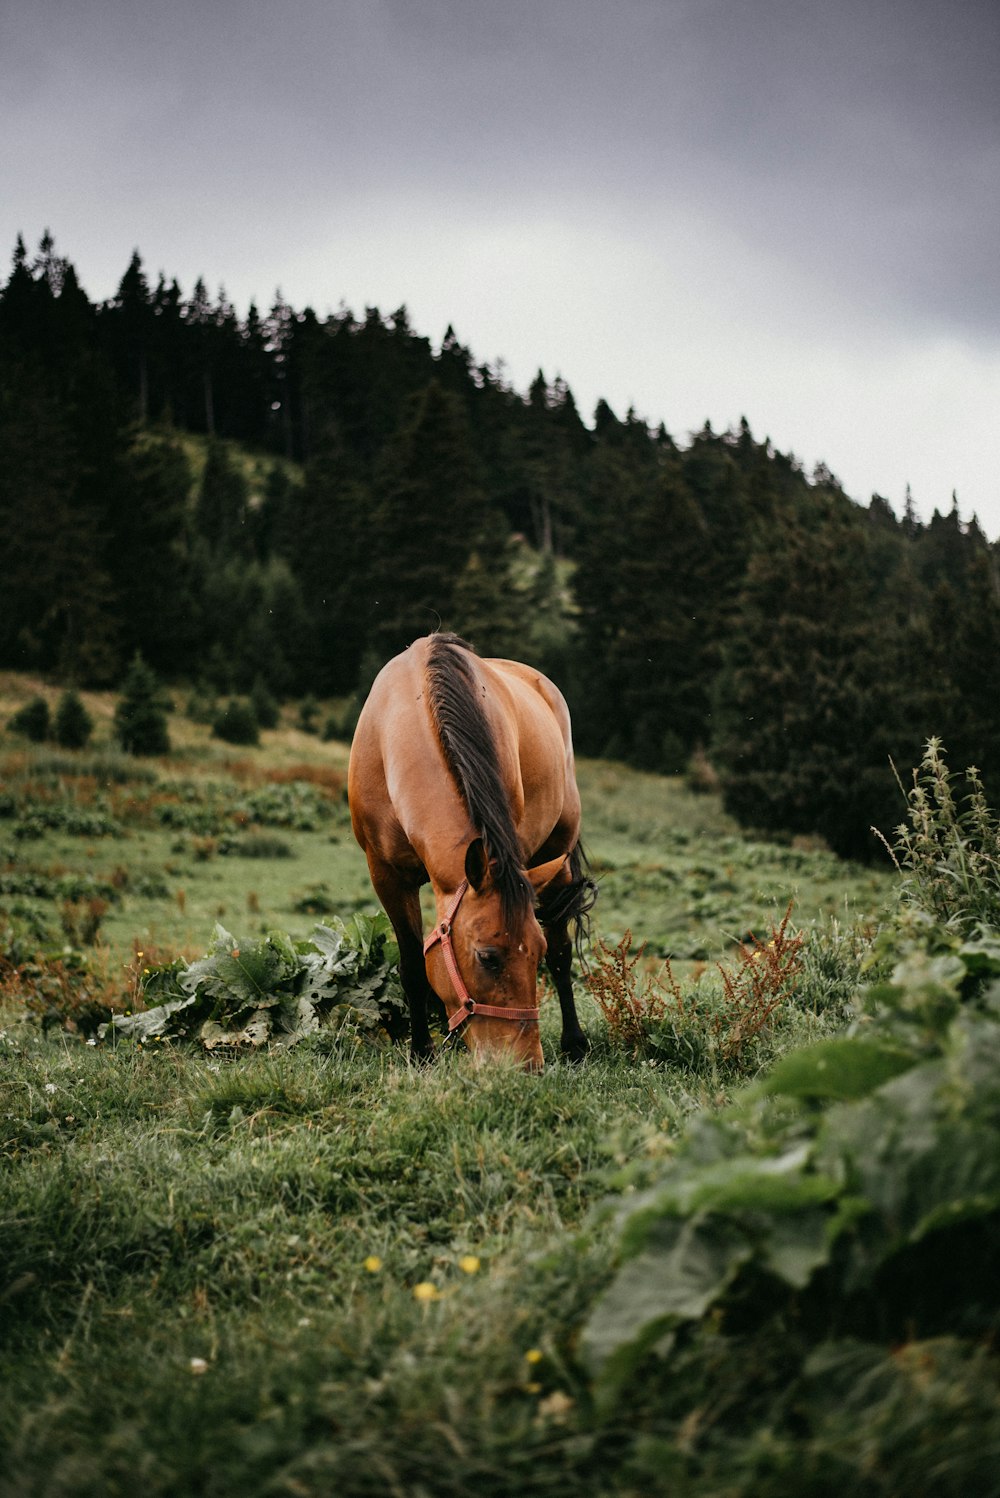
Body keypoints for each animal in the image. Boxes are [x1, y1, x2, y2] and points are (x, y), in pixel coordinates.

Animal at [347, 632, 598, 1066]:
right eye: (488, 957)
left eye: (534, 952)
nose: (525, 1065)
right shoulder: (386, 875)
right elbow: (413, 967)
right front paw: (423, 1053)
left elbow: (555, 952)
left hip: (556, 856)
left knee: (563, 952)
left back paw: (574, 1043)